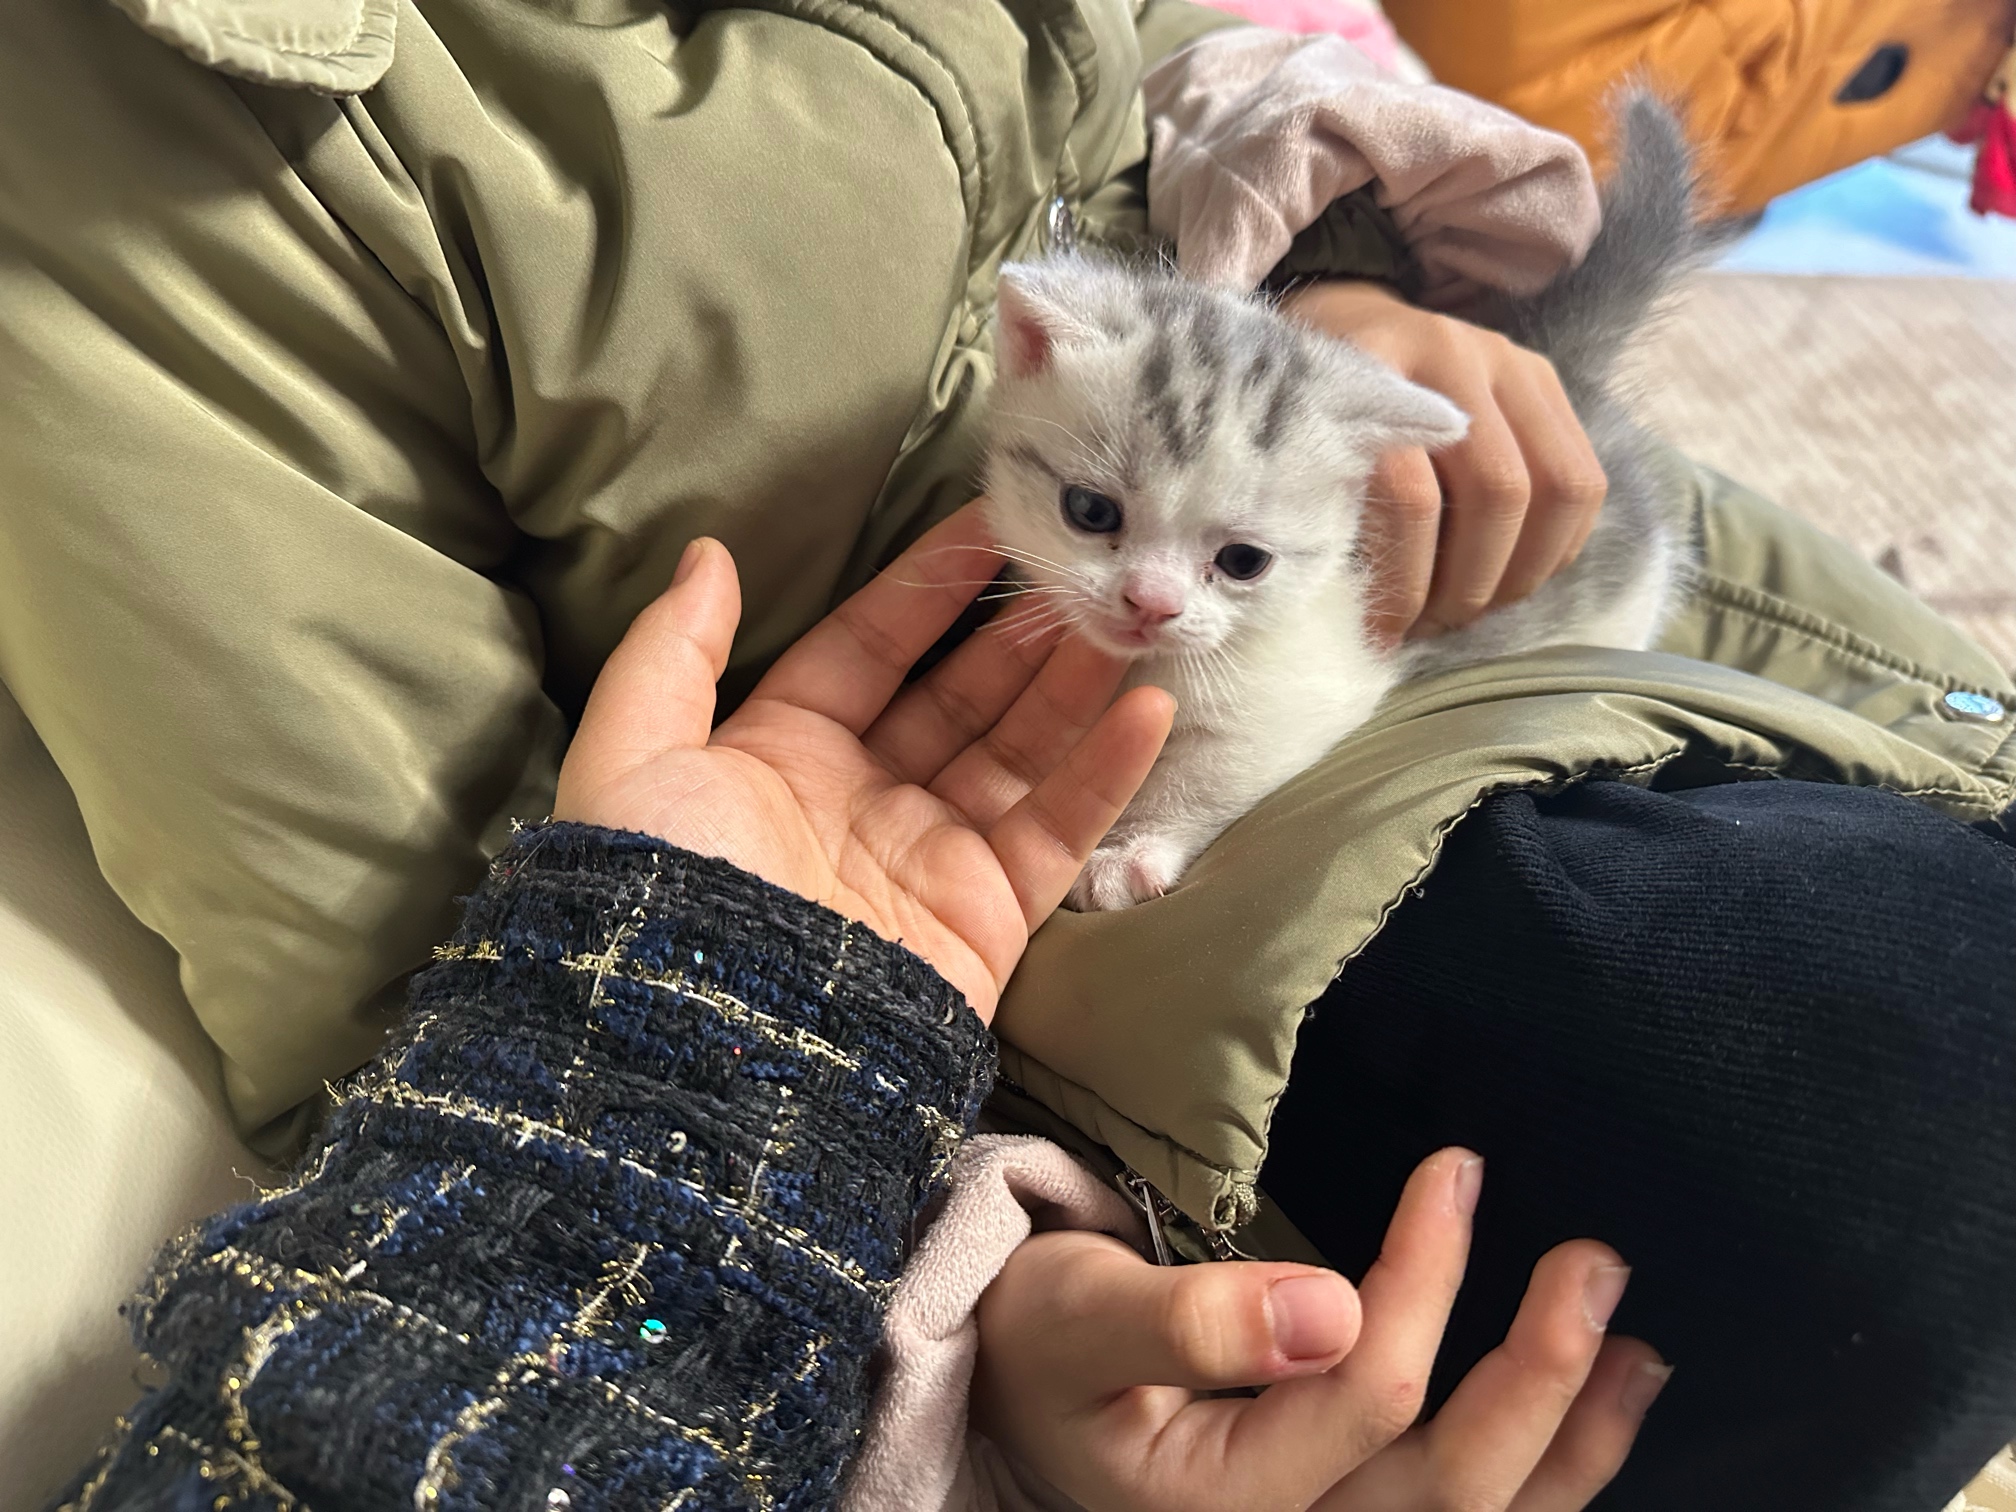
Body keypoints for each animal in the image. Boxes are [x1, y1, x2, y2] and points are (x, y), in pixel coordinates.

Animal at [980, 94, 1705, 911]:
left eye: (1244, 561)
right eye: (1090, 513)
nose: (1151, 605)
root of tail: (1568, 376)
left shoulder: (1303, 692)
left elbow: (1207, 773)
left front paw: (1130, 849)